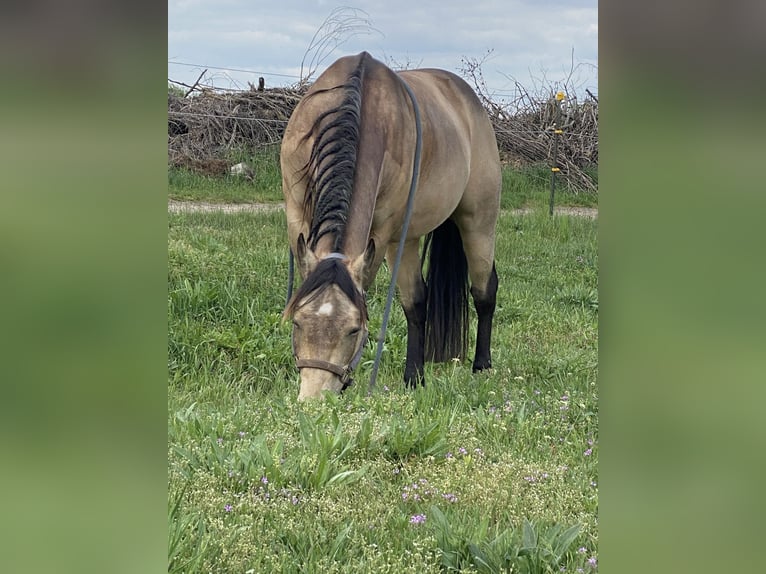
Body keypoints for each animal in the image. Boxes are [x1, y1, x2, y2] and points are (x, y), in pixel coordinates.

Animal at [281, 51, 501, 400]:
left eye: (354, 329)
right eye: (297, 323)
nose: (313, 400)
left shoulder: (382, 234)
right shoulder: (295, 218)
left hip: (477, 221)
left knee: (482, 290)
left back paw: (480, 366)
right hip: (408, 239)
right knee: (418, 301)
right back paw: (416, 376)